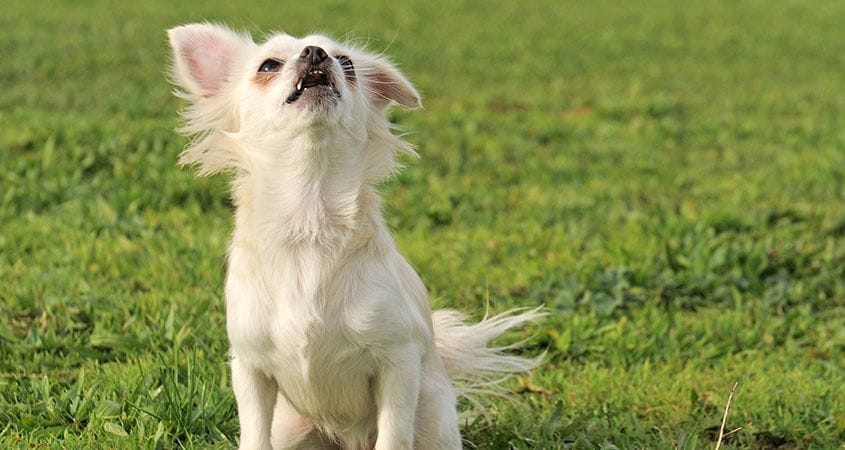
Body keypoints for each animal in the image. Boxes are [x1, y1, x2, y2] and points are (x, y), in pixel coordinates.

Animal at [168, 23, 544, 450]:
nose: (315, 53)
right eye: (267, 65)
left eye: (347, 64)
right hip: (292, 427)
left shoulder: (398, 364)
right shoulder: (250, 369)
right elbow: (254, 437)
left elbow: (393, 438)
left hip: (432, 417)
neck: (310, 224)